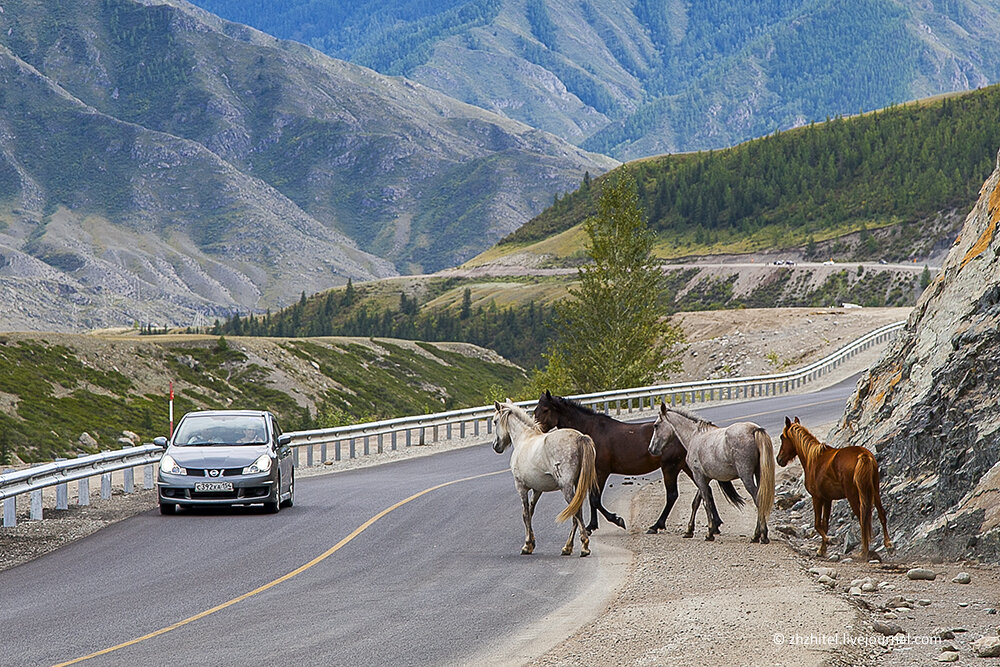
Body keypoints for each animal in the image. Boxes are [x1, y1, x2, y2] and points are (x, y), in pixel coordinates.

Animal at [490, 402, 592, 560]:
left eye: (495, 421)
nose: (496, 446)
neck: (524, 439)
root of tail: (580, 438)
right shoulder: (537, 489)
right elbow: (531, 512)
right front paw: (531, 543)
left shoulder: (521, 487)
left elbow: (525, 514)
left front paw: (527, 545)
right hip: (578, 487)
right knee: (575, 513)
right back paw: (567, 547)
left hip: (566, 488)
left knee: (576, 513)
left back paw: (584, 547)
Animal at [532, 394, 744, 536]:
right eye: (535, 409)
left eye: (545, 410)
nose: (535, 429)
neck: (591, 431)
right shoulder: (595, 472)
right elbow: (592, 499)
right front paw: (593, 525)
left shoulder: (601, 471)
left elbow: (595, 499)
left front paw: (616, 520)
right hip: (688, 468)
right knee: (705, 489)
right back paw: (716, 524)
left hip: (670, 467)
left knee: (673, 495)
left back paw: (656, 525)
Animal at [644, 404, 776, 544]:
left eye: (656, 425)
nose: (651, 449)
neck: (694, 436)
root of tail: (754, 429)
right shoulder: (704, 478)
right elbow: (696, 503)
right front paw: (689, 531)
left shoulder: (698, 476)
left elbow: (706, 502)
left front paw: (709, 533)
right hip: (758, 474)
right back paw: (759, 535)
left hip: (746, 477)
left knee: (758, 499)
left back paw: (760, 535)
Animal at [776, 420, 896, 560]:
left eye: (782, 437)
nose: (778, 459)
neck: (813, 458)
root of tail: (863, 455)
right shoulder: (828, 499)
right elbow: (825, 525)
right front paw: (822, 549)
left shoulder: (817, 498)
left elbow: (817, 524)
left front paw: (827, 541)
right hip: (875, 491)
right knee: (881, 513)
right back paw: (888, 544)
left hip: (853, 496)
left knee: (863, 519)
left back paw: (864, 551)